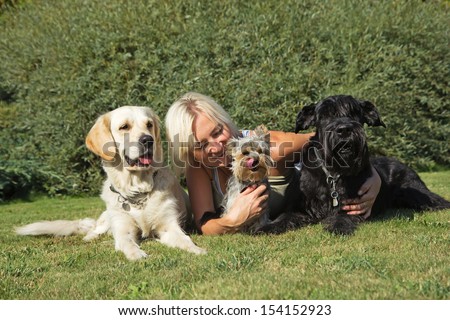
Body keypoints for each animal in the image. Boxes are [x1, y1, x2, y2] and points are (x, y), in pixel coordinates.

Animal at [260, 95, 450, 235]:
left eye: (354, 113)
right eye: (325, 115)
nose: (344, 130)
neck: (334, 172)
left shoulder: (353, 205)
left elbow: (342, 216)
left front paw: (338, 225)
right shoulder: (302, 206)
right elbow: (285, 216)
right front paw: (269, 226)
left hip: (418, 193)